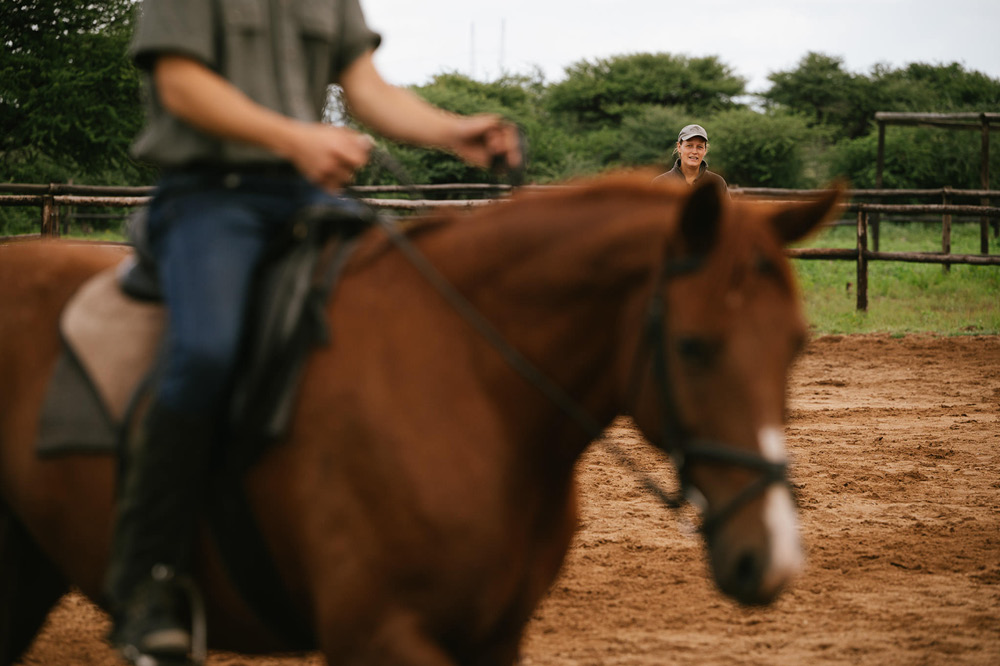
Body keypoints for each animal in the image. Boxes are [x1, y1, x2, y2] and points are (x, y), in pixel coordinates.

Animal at [0, 176, 840, 664]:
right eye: (694, 346)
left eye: (797, 344)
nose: (769, 559)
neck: (470, 387)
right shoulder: (380, 635)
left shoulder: (495, 641)